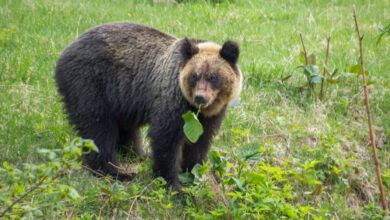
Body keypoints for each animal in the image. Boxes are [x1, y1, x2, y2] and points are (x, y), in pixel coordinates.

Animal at [55, 22, 242, 191]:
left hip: (121, 98)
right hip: (91, 84)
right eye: (194, 76)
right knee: (98, 127)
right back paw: (116, 171)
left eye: (213, 77)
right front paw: (173, 186)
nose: (200, 97)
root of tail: (65, 52)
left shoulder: (210, 116)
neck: (196, 109)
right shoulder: (172, 100)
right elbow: (165, 139)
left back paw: (139, 154)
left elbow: (199, 142)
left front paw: (193, 174)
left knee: (125, 130)